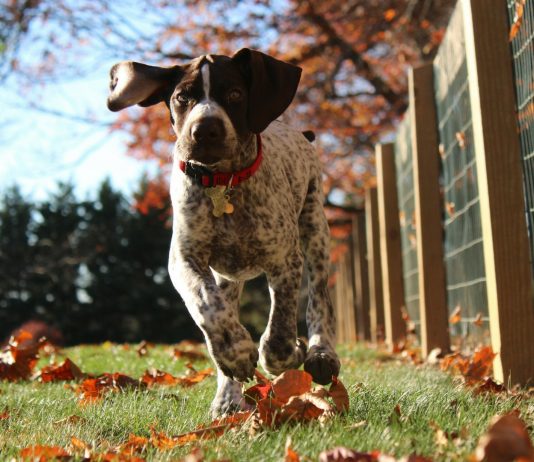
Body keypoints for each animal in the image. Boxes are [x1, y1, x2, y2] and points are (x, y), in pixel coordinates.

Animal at [108, 47, 342, 416]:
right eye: (182, 98)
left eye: (234, 94)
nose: (204, 130)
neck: (223, 183)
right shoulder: (185, 259)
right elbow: (208, 306)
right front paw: (236, 354)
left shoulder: (285, 259)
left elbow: (280, 329)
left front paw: (289, 352)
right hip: (228, 276)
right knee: (222, 309)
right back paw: (227, 398)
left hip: (316, 227)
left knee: (319, 298)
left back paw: (320, 354)